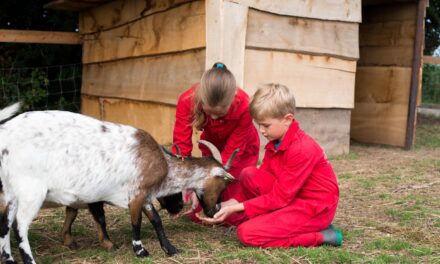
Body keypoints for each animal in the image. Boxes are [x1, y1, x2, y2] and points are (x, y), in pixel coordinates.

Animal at [0, 103, 237, 264]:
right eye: (223, 184)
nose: (214, 210)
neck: (164, 165)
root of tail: (6, 135)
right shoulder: (136, 194)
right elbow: (136, 222)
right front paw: (140, 250)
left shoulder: (146, 196)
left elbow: (156, 220)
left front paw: (170, 248)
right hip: (31, 190)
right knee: (20, 225)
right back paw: (29, 260)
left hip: (11, 192)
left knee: (6, 223)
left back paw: (9, 259)